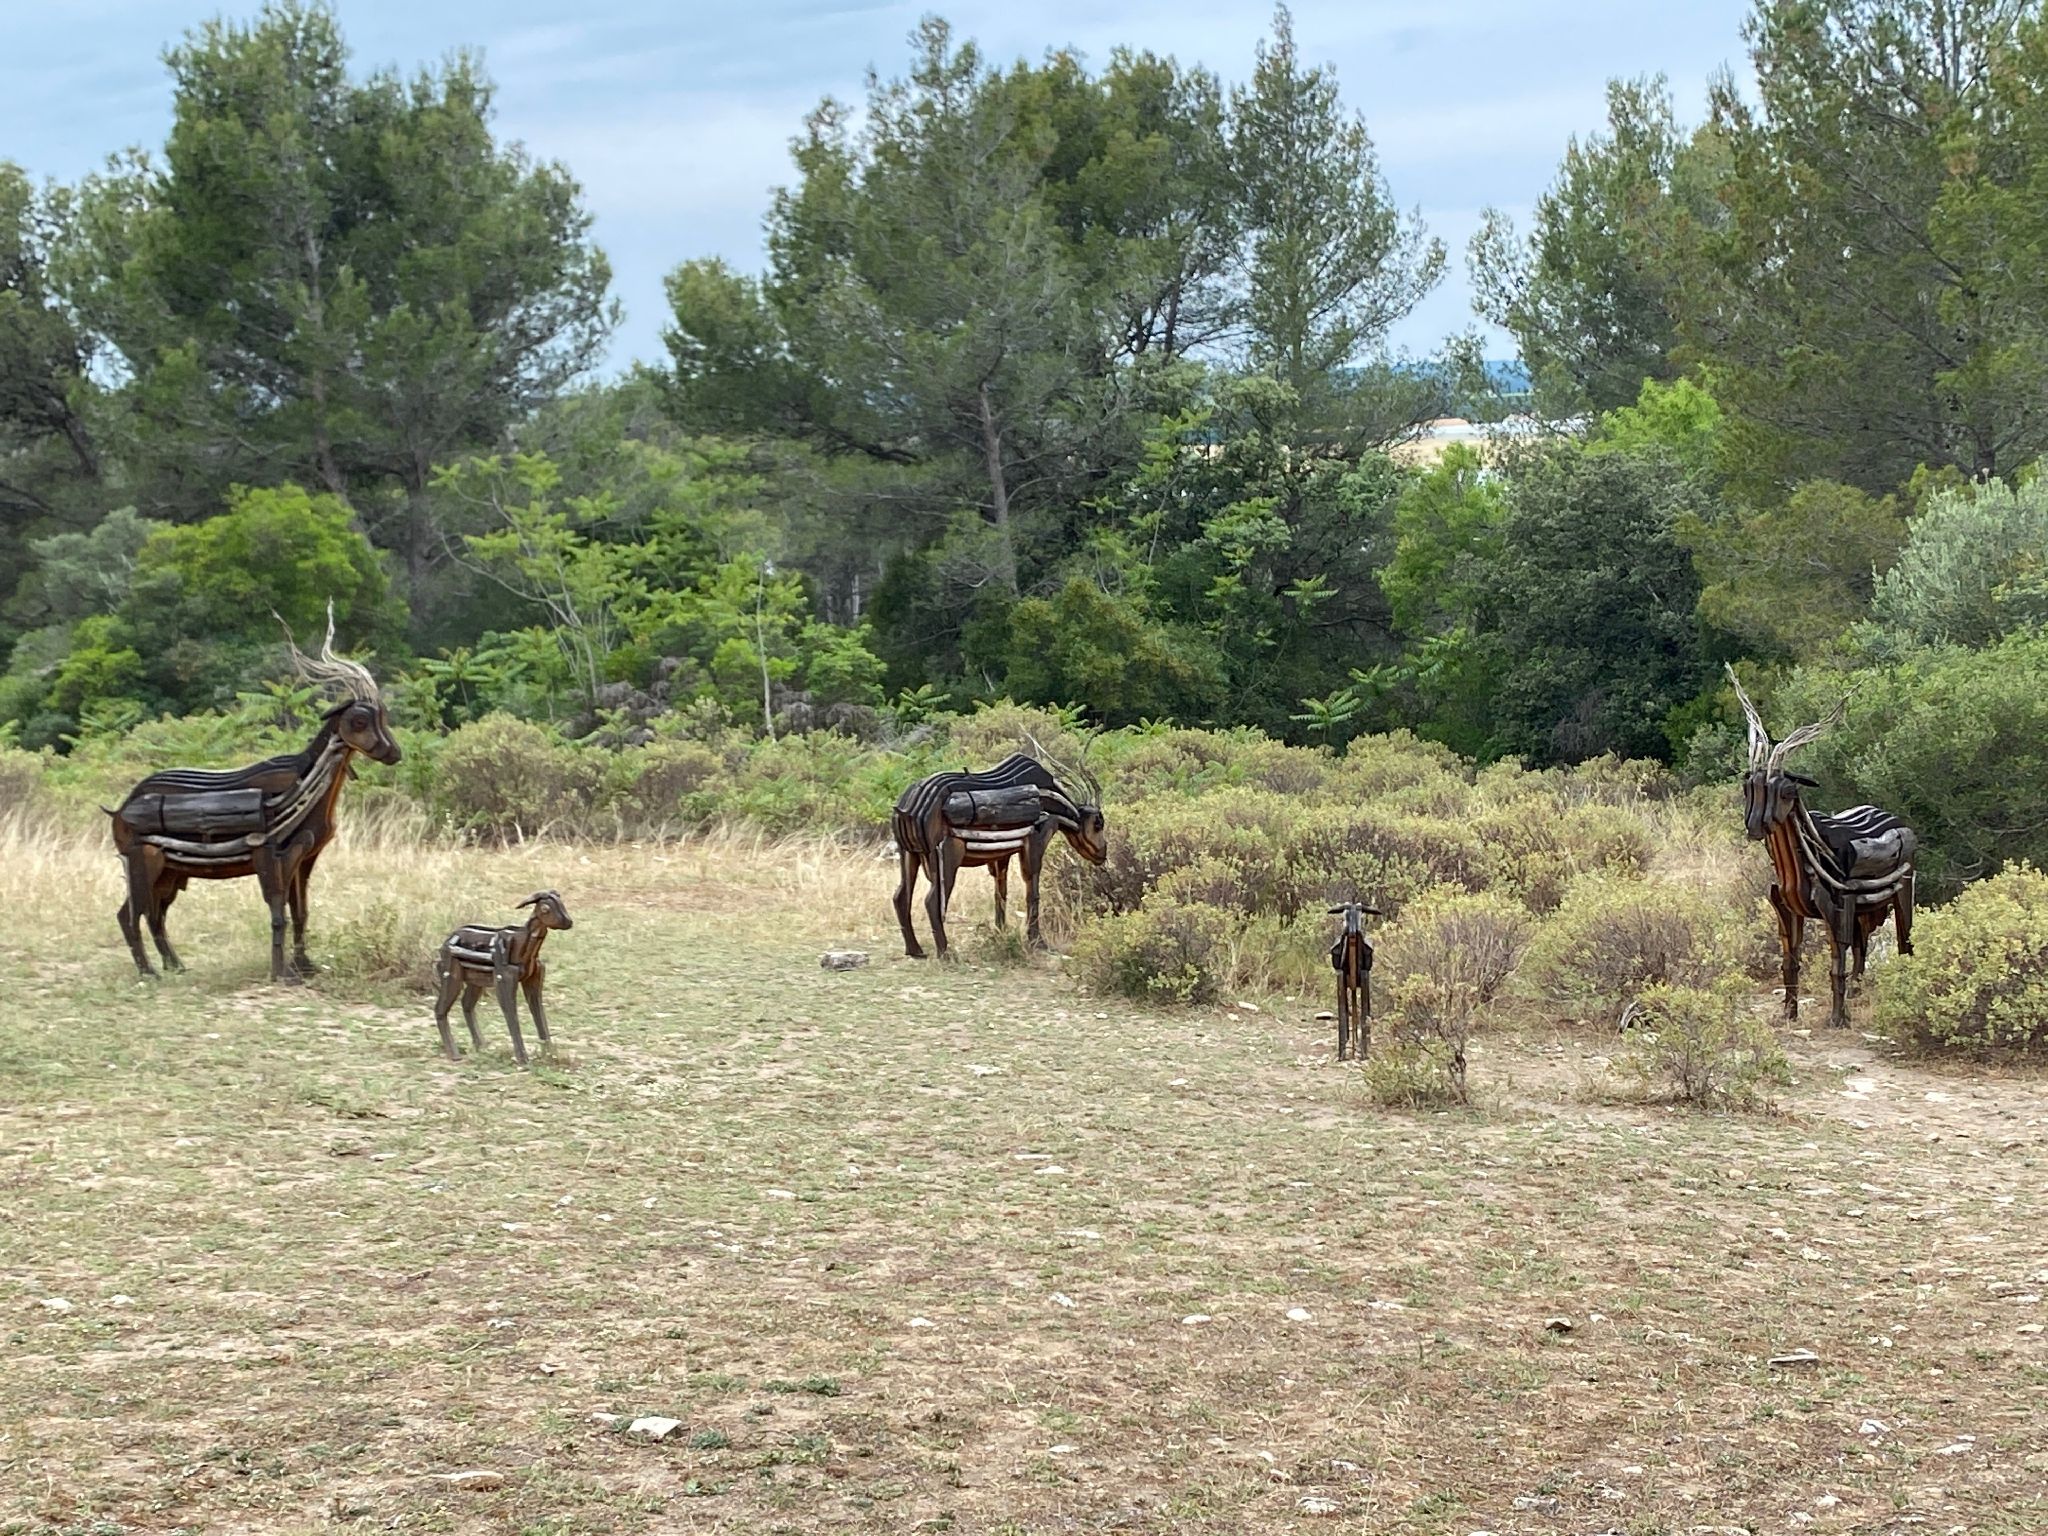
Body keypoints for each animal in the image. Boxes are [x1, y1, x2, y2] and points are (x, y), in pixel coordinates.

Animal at [108, 606, 401, 982]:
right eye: (360, 721)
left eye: (383, 717)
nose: (394, 754)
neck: (302, 783)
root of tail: (120, 810)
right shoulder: (271, 855)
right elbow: (279, 914)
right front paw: (282, 975)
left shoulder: (305, 859)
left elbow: (301, 913)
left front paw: (304, 968)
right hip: (143, 862)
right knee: (130, 915)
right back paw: (149, 974)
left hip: (170, 871)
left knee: (154, 914)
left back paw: (175, 967)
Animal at [432, 890, 574, 1065]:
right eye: (545, 908)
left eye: (562, 904)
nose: (568, 922)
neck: (523, 946)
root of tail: (444, 944)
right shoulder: (504, 979)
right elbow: (510, 1013)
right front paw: (523, 1060)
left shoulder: (533, 979)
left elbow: (538, 1012)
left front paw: (550, 1055)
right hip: (451, 976)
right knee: (440, 1008)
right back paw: (454, 1054)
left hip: (476, 980)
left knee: (466, 1004)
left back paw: (482, 1047)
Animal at [891, 745, 1106, 960]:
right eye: (1098, 823)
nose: (1102, 853)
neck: (1049, 804)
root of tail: (908, 809)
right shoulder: (1033, 845)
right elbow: (1032, 894)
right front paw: (1038, 943)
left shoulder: (1002, 855)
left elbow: (1000, 893)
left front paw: (1000, 933)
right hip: (945, 857)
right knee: (931, 901)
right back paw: (945, 954)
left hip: (909, 853)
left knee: (900, 896)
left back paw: (915, 951)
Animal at [1728, 666, 1916, 1028]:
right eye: (1749, 787)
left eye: (1786, 791)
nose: (1754, 827)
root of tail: (1896, 820)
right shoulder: (1786, 909)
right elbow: (1790, 962)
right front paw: (1788, 1014)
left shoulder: (1837, 908)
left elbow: (1835, 966)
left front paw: (1837, 1019)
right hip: (1865, 910)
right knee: (1862, 947)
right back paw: (1858, 991)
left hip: (1902, 889)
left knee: (1905, 940)